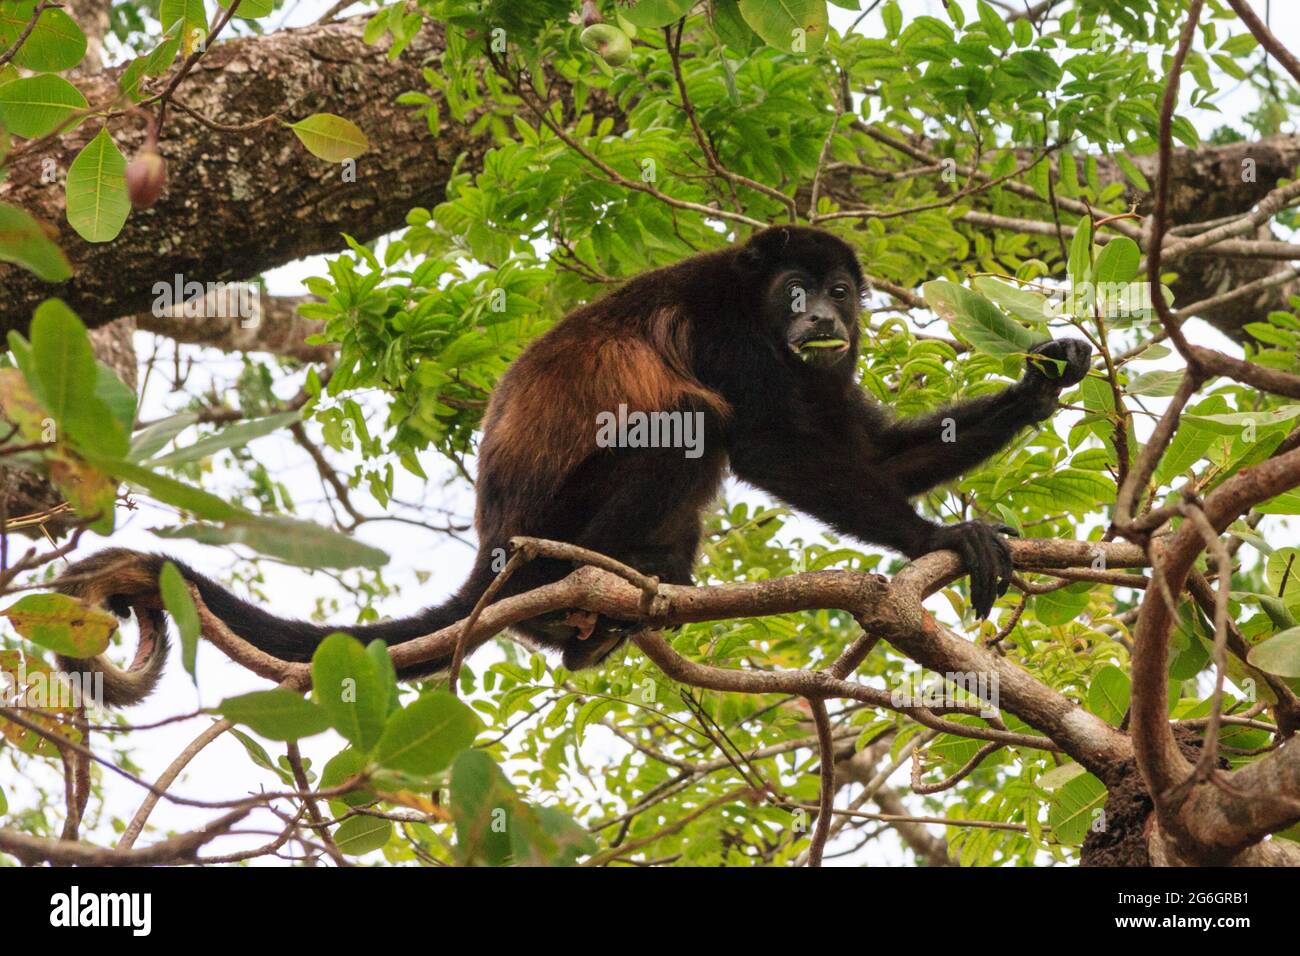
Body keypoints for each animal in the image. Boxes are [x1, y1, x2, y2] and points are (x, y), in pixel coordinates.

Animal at [63, 223, 1097, 702]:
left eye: (840, 290)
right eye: (795, 290)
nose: (823, 320)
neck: (759, 307)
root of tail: (494, 549)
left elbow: (870, 449)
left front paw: (1043, 377)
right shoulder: (730, 334)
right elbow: (770, 445)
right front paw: (938, 539)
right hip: (552, 525)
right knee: (688, 421)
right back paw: (577, 607)